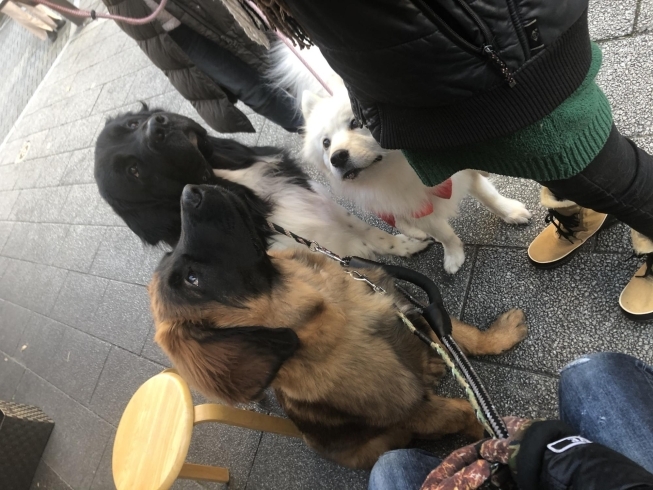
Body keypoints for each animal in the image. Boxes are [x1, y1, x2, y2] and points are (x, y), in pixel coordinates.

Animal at [150, 183, 528, 468]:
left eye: (182, 268)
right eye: (193, 279)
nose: (189, 190)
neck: (335, 308)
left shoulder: (413, 311)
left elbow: (464, 335)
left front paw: (501, 336)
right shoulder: (416, 411)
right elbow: (465, 410)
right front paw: (494, 440)